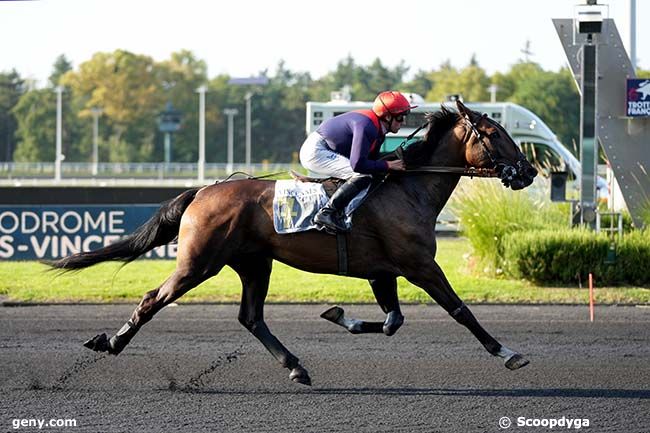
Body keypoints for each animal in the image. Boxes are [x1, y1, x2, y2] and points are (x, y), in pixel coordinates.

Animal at [50, 100, 536, 384]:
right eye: (495, 134)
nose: (529, 171)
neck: (409, 188)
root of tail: (203, 191)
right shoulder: (419, 266)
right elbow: (460, 310)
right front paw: (508, 353)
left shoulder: (382, 271)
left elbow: (393, 321)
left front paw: (339, 315)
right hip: (199, 262)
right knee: (154, 297)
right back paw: (111, 343)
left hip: (254, 264)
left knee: (251, 317)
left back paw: (296, 366)